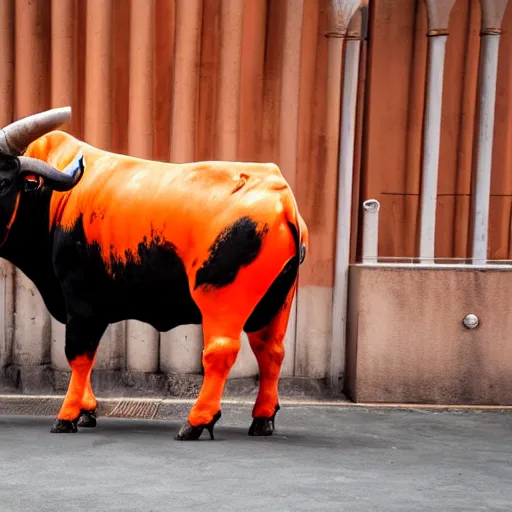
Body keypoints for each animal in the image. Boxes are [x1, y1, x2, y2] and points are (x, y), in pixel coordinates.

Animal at [0, 107, 308, 440]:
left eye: (3, 182)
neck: (52, 198)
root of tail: (278, 190)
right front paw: (86, 410)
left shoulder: (81, 300)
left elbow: (79, 356)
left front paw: (67, 415)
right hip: (275, 301)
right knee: (270, 351)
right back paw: (262, 419)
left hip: (222, 297)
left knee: (221, 351)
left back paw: (196, 421)